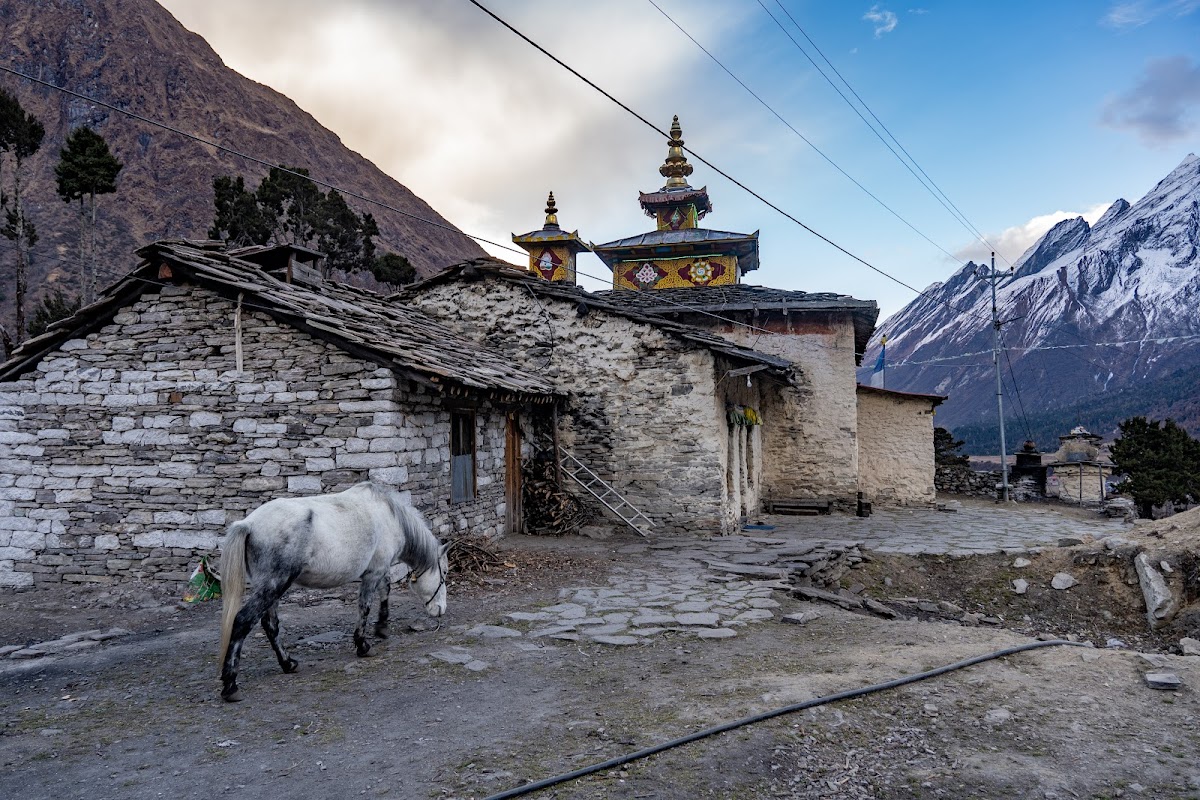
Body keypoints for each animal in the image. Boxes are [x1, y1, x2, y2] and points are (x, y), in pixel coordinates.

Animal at [218, 482, 448, 700]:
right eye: (444, 571)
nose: (441, 609)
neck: (390, 516)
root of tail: (248, 524)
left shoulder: (380, 570)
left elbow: (385, 591)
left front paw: (382, 627)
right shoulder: (373, 573)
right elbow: (364, 607)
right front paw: (362, 645)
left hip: (270, 590)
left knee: (270, 625)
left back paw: (288, 663)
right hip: (273, 586)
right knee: (242, 621)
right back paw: (230, 685)